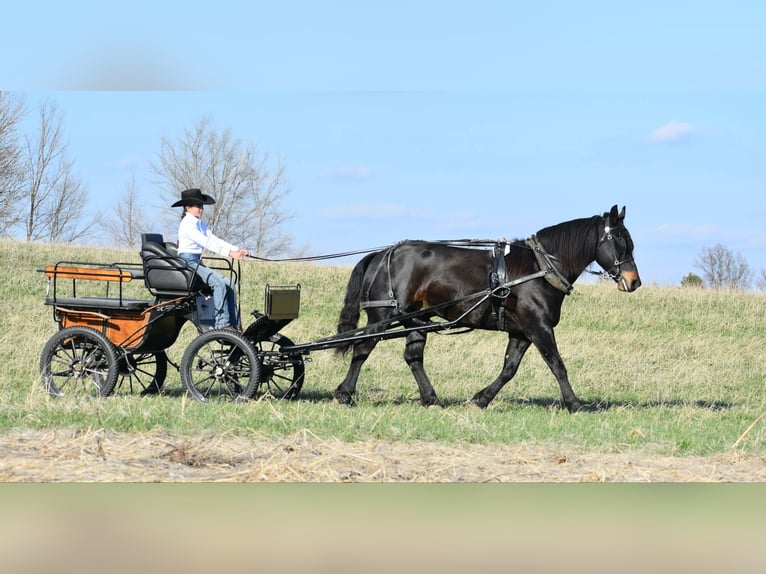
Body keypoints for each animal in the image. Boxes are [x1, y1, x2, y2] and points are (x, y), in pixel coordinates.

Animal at [333, 205, 641, 412]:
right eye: (621, 242)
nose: (634, 281)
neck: (539, 269)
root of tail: (385, 253)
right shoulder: (538, 327)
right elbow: (557, 365)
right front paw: (574, 404)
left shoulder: (521, 332)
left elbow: (509, 369)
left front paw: (480, 399)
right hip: (383, 315)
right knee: (362, 349)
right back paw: (345, 394)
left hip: (416, 318)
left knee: (413, 357)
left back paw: (431, 399)